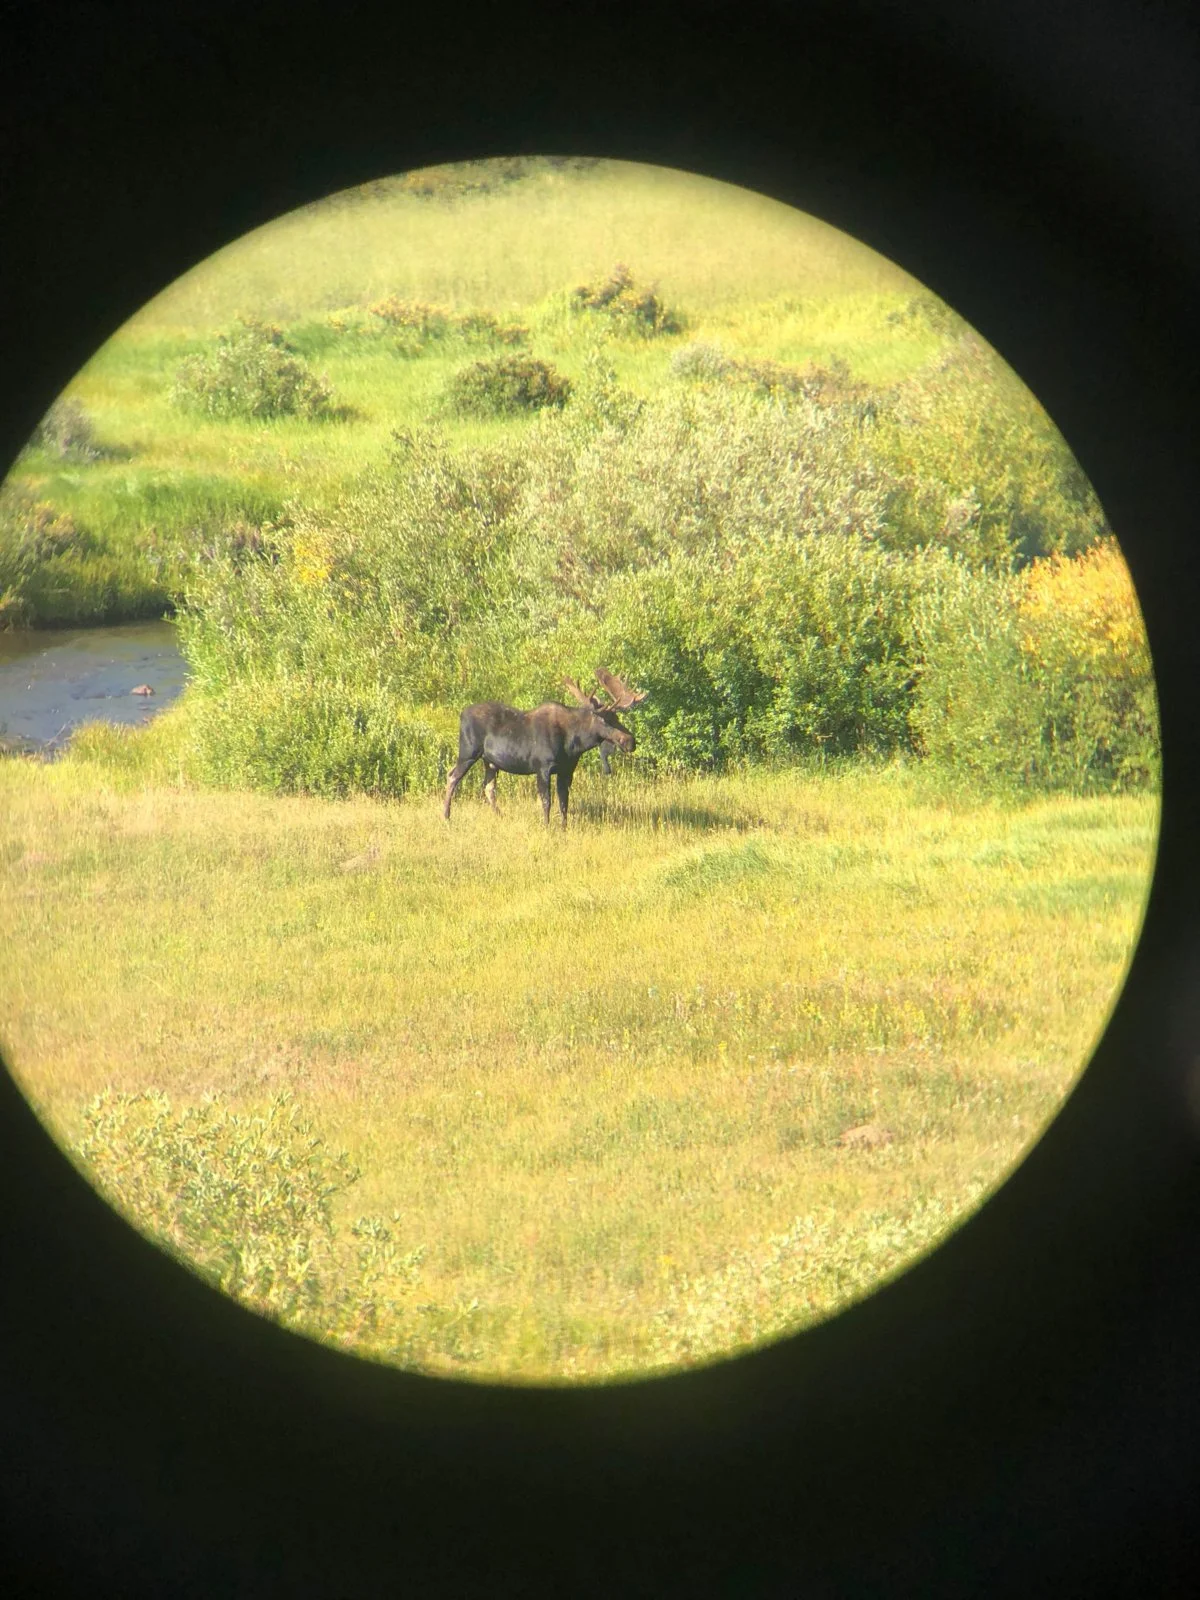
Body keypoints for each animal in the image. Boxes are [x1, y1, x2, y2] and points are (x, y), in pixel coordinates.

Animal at [443, 669, 648, 828]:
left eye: (618, 718)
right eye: (606, 720)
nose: (630, 741)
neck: (573, 744)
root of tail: (461, 714)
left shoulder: (567, 770)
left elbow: (564, 802)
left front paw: (564, 828)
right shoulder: (542, 767)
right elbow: (547, 801)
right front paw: (547, 827)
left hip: (490, 761)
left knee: (488, 787)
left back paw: (501, 816)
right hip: (468, 752)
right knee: (452, 776)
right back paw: (446, 816)